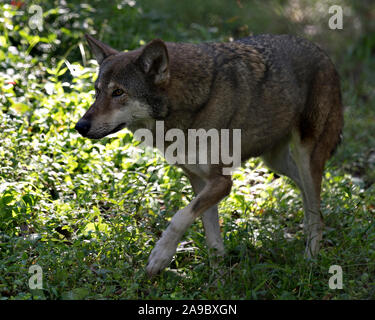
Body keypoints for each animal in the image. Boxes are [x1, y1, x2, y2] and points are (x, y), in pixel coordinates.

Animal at [75, 33, 344, 276]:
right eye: (97, 92)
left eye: (118, 92)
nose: (80, 126)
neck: (189, 106)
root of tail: (323, 53)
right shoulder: (200, 181)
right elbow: (212, 237)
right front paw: (218, 279)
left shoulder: (222, 182)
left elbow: (180, 216)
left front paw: (160, 257)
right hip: (276, 162)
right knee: (309, 198)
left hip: (305, 156)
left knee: (316, 211)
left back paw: (309, 260)